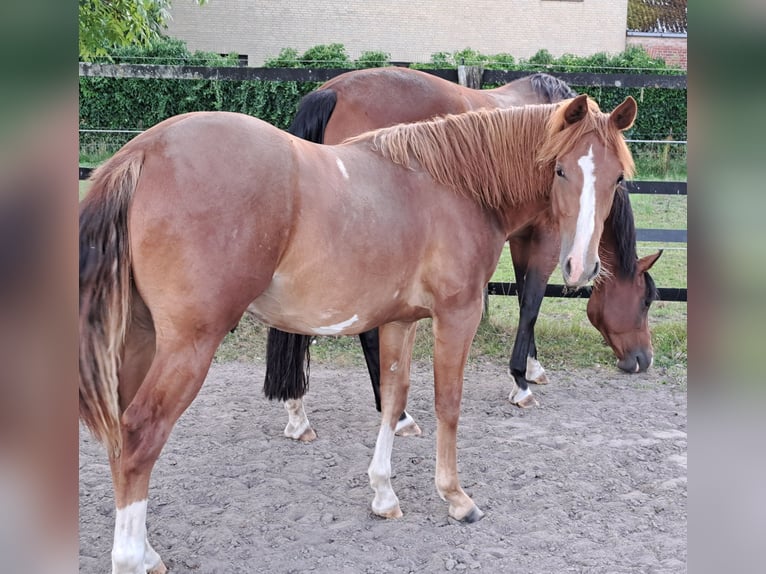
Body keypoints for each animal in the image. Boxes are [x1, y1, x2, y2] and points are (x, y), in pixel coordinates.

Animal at [79, 95, 637, 573]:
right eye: (561, 169)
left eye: (615, 178)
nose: (581, 267)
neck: (454, 186)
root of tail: (144, 152)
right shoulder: (457, 316)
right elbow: (448, 403)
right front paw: (456, 498)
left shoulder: (399, 321)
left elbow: (394, 398)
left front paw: (384, 493)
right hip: (188, 345)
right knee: (141, 434)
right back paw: (130, 558)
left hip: (141, 340)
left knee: (122, 440)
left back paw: (148, 551)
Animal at [263, 67, 661, 441]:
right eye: (645, 301)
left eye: (618, 177)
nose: (643, 360)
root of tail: (332, 91)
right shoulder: (546, 236)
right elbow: (532, 302)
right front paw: (521, 382)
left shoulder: (520, 236)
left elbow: (523, 298)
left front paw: (532, 367)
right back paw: (397, 414)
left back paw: (298, 413)